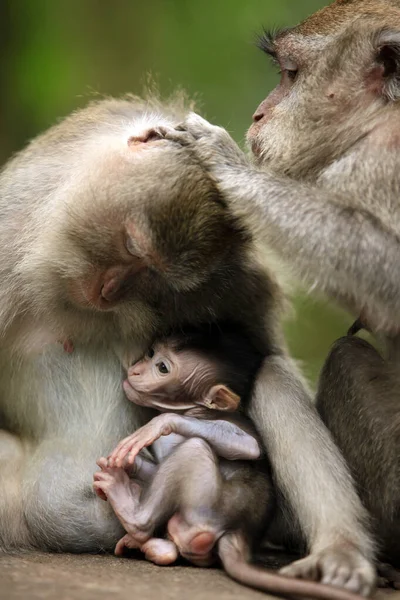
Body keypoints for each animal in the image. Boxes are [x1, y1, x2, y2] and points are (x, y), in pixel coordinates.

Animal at [94, 326, 368, 600]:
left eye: (162, 368)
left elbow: (248, 445)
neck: (196, 410)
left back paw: (131, 511)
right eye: (151, 353)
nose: (136, 370)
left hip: (208, 506)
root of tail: (239, 534)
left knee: (195, 449)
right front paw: (131, 464)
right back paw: (154, 546)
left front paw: (160, 424)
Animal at [153, 0, 400, 576]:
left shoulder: (377, 160)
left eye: (290, 74)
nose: (259, 115)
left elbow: (384, 272)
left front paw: (228, 166)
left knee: (344, 358)